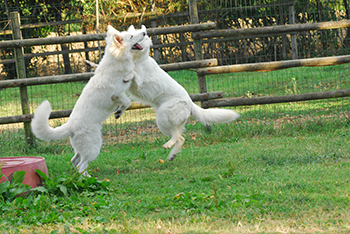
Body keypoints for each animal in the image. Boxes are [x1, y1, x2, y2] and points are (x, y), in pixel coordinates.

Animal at [30, 26, 145, 176]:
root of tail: (70, 126)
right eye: (131, 36)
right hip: (94, 147)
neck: (117, 59)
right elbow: (127, 102)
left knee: (75, 162)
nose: (144, 32)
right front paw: (119, 112)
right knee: (81, 165)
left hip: (84, 149)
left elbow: (134, 78)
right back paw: (89, 177)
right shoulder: (117, 94)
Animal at [121, 26, 239, 161]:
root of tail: (190, 103)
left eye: (140, 34)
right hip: (161, 123)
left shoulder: (139, 82)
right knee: (180, 137)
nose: (143, 33)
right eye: (130, 34)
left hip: (164, 115)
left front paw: (127, 76)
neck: (136, 58)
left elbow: (133, 73)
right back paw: (172, 155)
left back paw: (168, 146)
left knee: (177, 135)